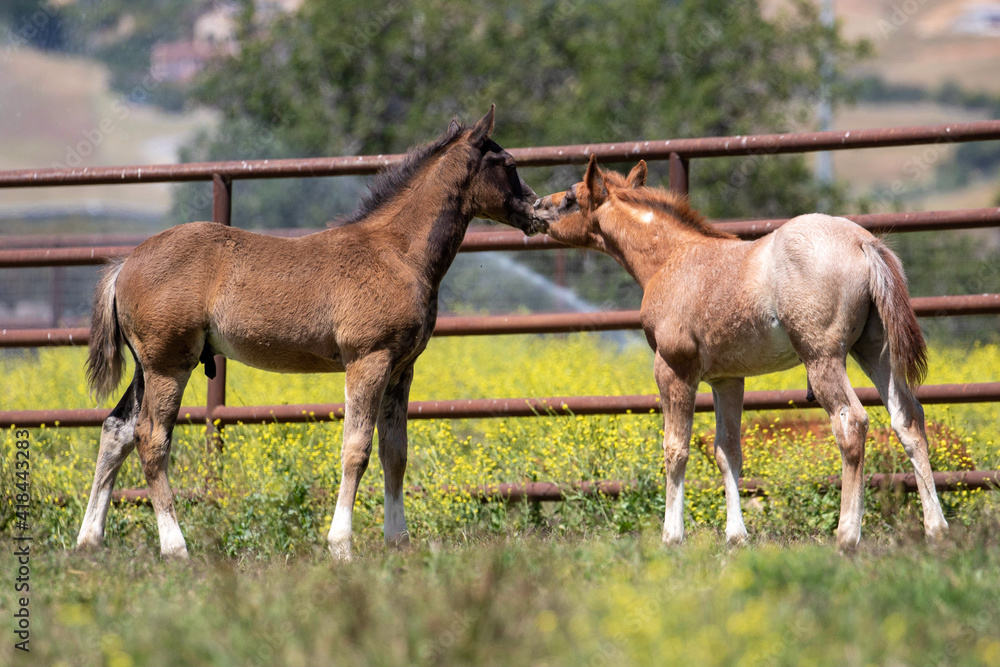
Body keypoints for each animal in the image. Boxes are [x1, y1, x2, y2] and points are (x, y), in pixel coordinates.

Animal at [77, 106, 547, 560]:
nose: (538, 210)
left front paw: (398, 541)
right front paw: (341, 545)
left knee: (117, 429)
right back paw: (175, 548)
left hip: (148, 367)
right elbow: (355, 450)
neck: (397, 253)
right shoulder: (368, 361)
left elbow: (394, 454)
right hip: (169, 364)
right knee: (150, 439)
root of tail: (125, 265)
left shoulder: (401, 370)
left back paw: (89, 541)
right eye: (508, 164)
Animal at [533, 155, 948, 551]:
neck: (671, 257)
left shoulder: (673, 369)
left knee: (851, 422)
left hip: (823, 357)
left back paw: (847, 535)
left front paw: (671, 536)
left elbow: (675, 449)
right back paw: (936, 529)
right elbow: (728, 451)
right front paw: (736, 536)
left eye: (570, 198)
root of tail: (864, 243)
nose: (535, 206)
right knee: (908, 418)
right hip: (875, 351)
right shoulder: (727, 379)